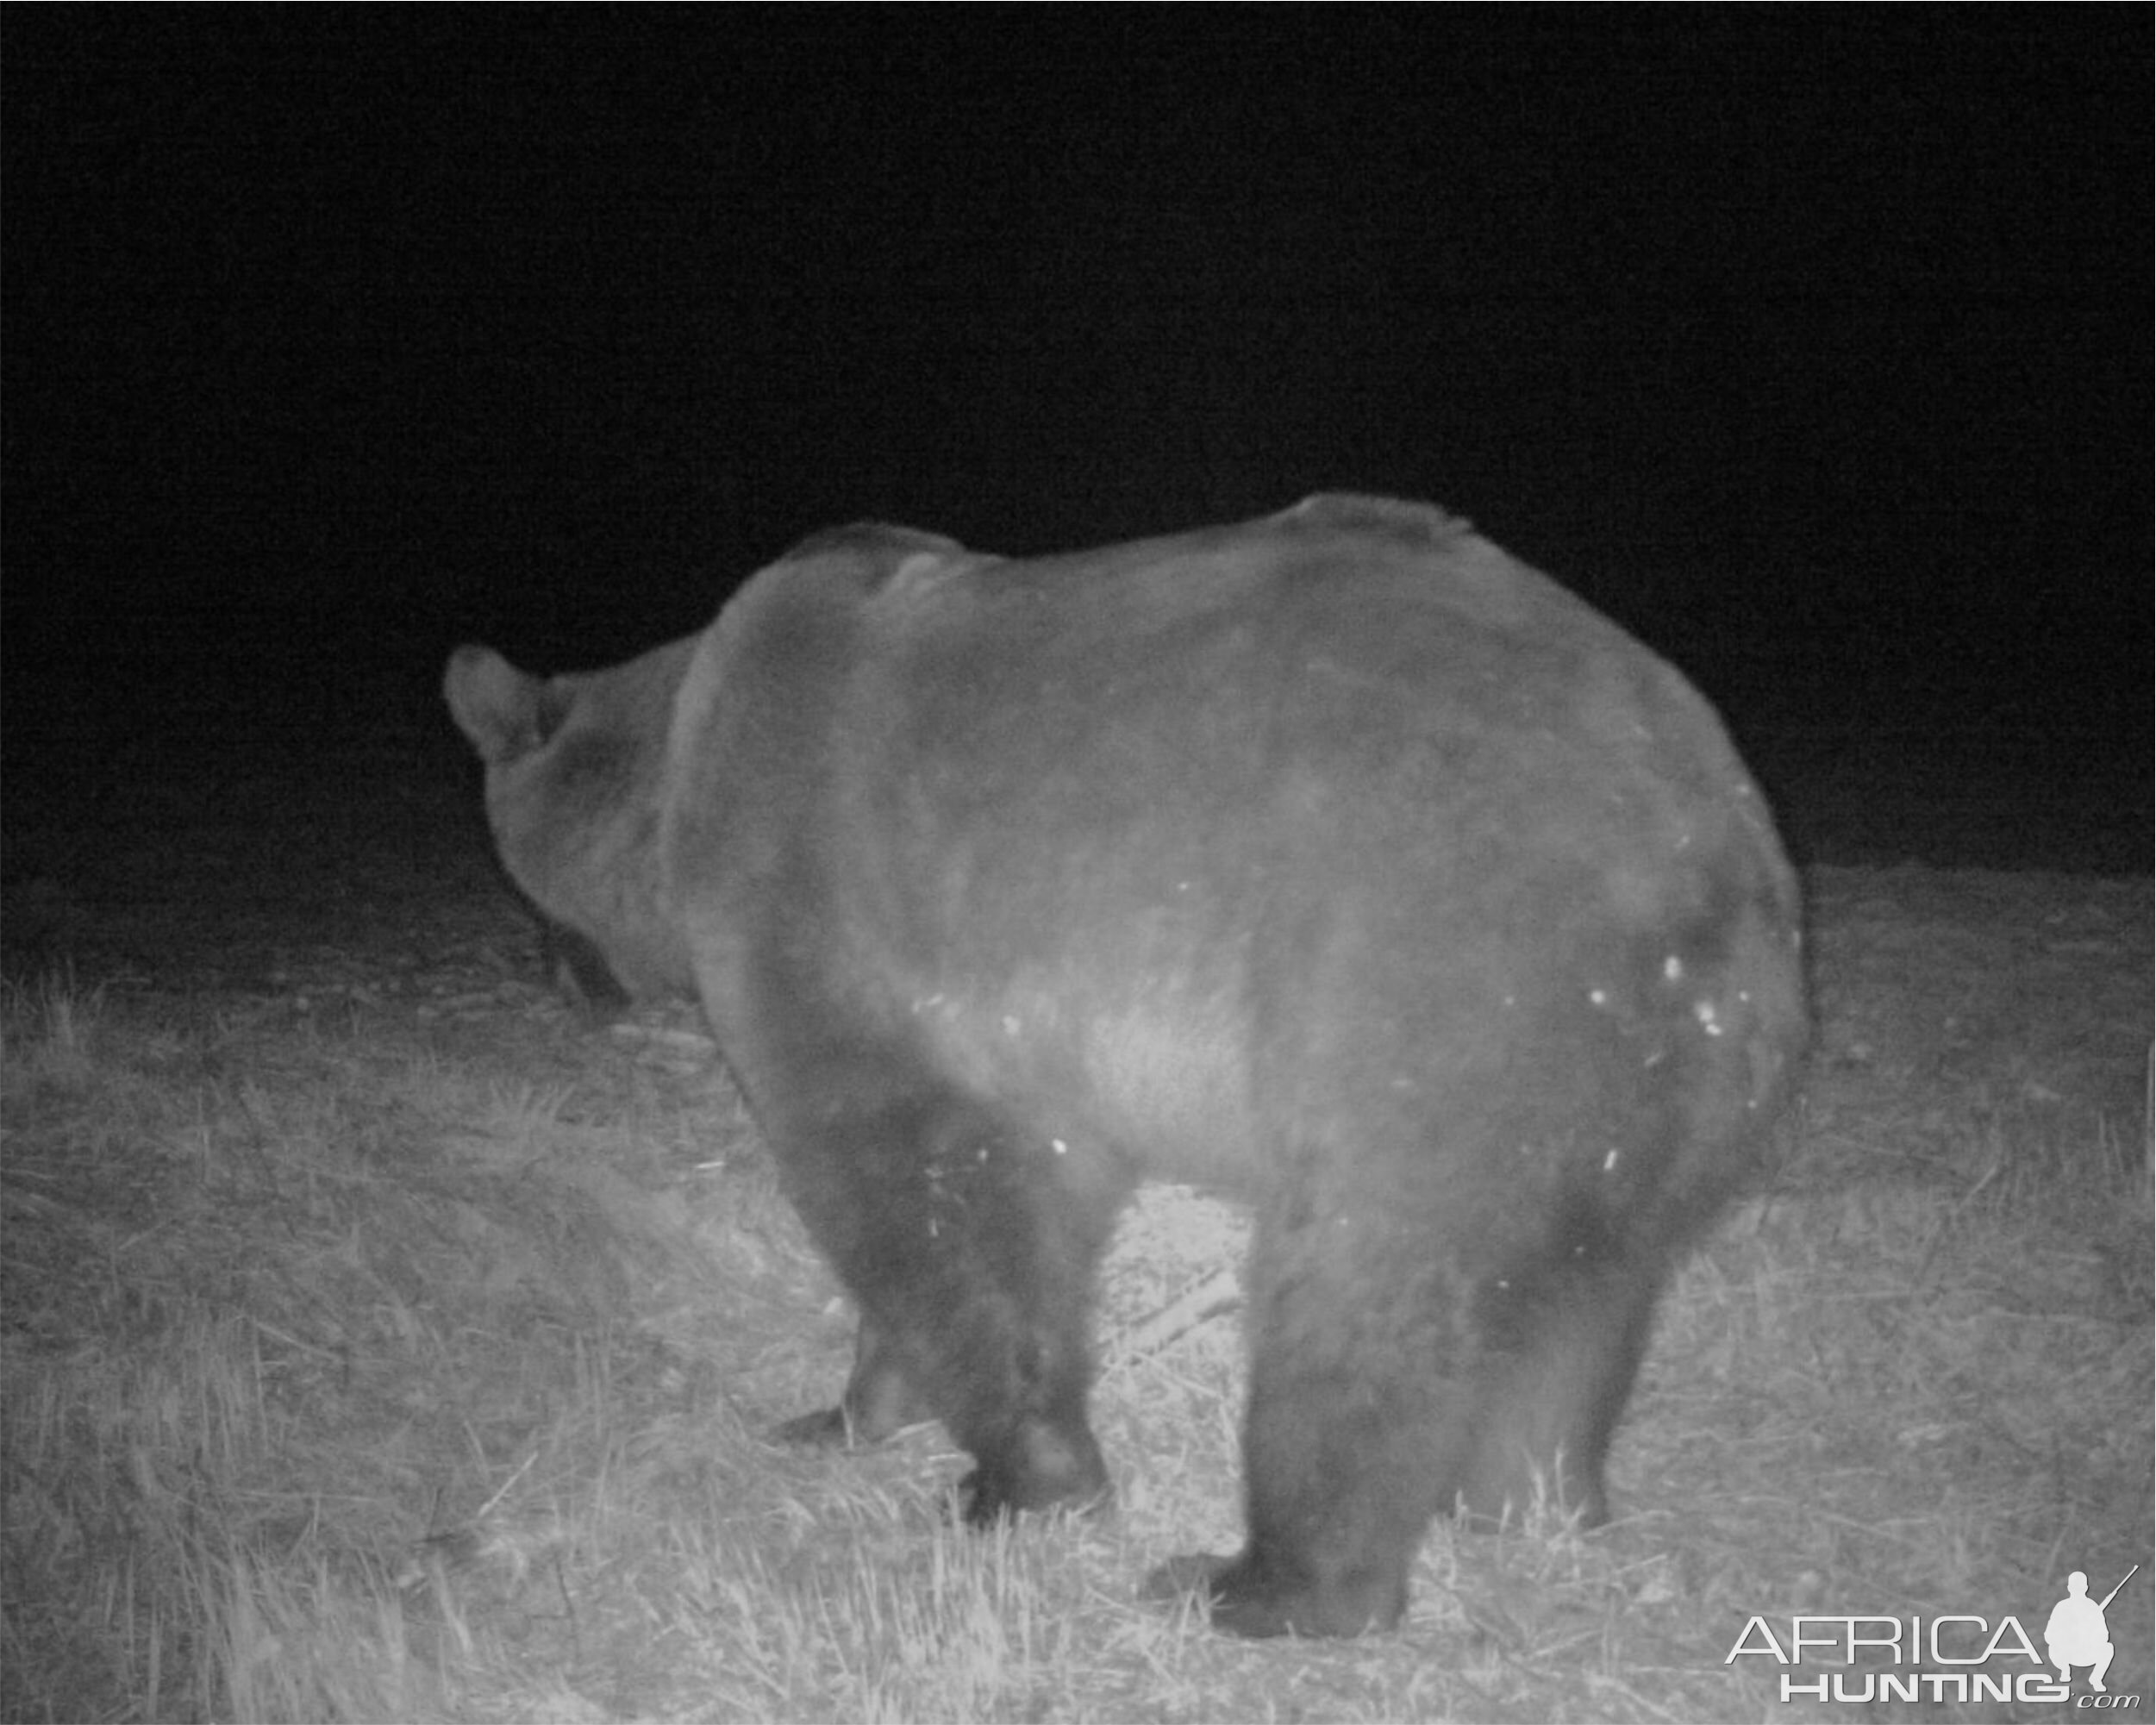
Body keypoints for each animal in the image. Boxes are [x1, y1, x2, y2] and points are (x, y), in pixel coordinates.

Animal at [441, 496, 1802, 1629]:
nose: (558, 977)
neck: (676, 766)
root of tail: (1720, 854)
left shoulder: (820, 900)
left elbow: (908, 1179)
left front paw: (1022, 1480)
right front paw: (842, 1413)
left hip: (1443, 1000)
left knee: (1360, 1302)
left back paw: (1264, 1581)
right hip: (1647, 1092)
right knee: (1580, 1302)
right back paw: (1536, 1499)